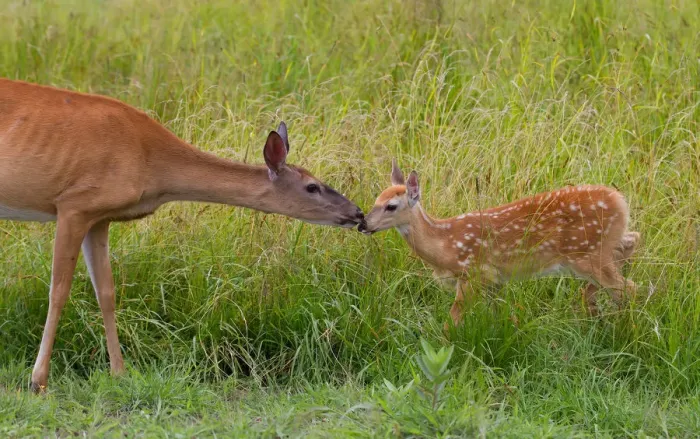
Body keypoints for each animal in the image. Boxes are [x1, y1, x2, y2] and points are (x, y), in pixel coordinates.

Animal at [0, 78, 365, 392]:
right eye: (312, 186)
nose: (358, 213)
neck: (151, 164)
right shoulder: (73, 204)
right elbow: (59, 291)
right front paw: (38, 380)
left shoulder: (99, 217)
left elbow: (107, 292)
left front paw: (120, 373)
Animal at [358, 159, 640, 329]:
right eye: (376, 199)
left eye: (391, 206)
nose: (363, 224)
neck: (446, 243)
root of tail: (620, 200)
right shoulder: (494, 281)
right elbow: (499, 313)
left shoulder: (473, 274)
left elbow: (453, 318)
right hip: (602, 247)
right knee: (631, 242)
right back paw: (596, 312)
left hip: (587, 253)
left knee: (629, 287)